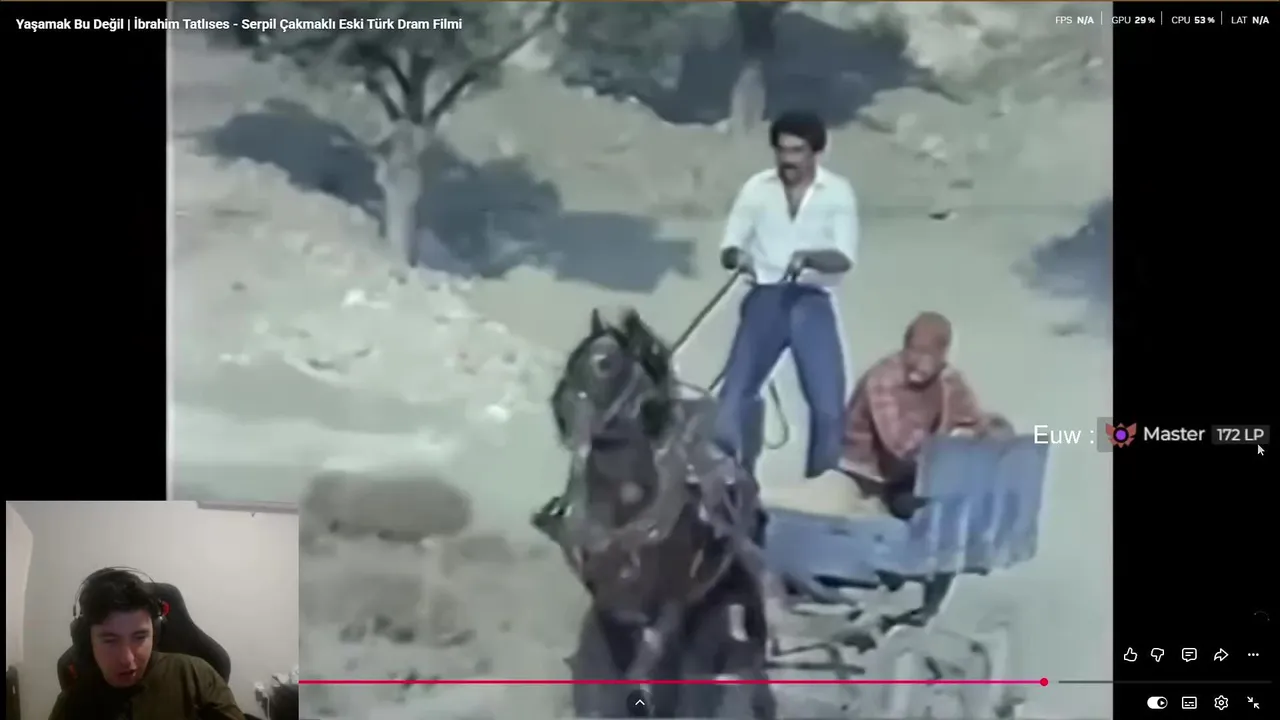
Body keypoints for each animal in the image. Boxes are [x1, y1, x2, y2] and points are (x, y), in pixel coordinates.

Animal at [533, 308, 777, 719]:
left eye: (604, 363)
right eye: (572, 358)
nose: (560, 412)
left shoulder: (669, 607)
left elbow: (652, 663)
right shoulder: (608, 601)